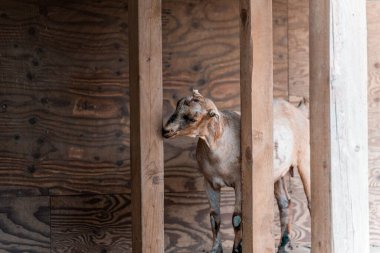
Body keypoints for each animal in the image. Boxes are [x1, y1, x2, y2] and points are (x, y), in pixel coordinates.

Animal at [162, 90, 310, 253]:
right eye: (177, 105)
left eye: (193, 118)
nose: (166, 130)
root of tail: (298, 110)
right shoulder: (209, 182)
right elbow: (214, 218)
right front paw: (215, 249)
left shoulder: (240, 182)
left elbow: (237, 219)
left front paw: (237, 249)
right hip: (277, 173)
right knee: (284, 202)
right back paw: (283, 245)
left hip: (304, 159)